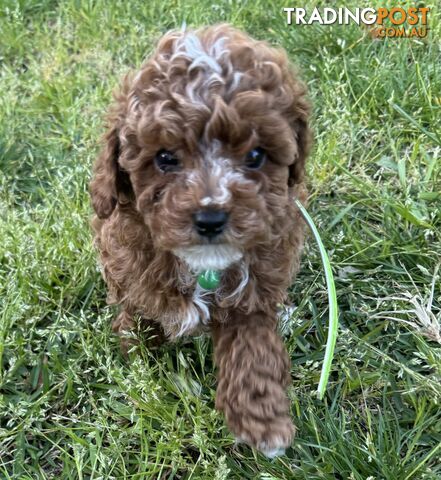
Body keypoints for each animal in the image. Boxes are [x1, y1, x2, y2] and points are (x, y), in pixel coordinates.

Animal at [89, 23, 310, 458]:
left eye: (256, 156)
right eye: (164, 158)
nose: (210, 218)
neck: (203, 266)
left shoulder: (257, 286)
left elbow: (253, 348)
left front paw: (263, 421)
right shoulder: (127, 268)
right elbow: (138, 316)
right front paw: (137, 357)